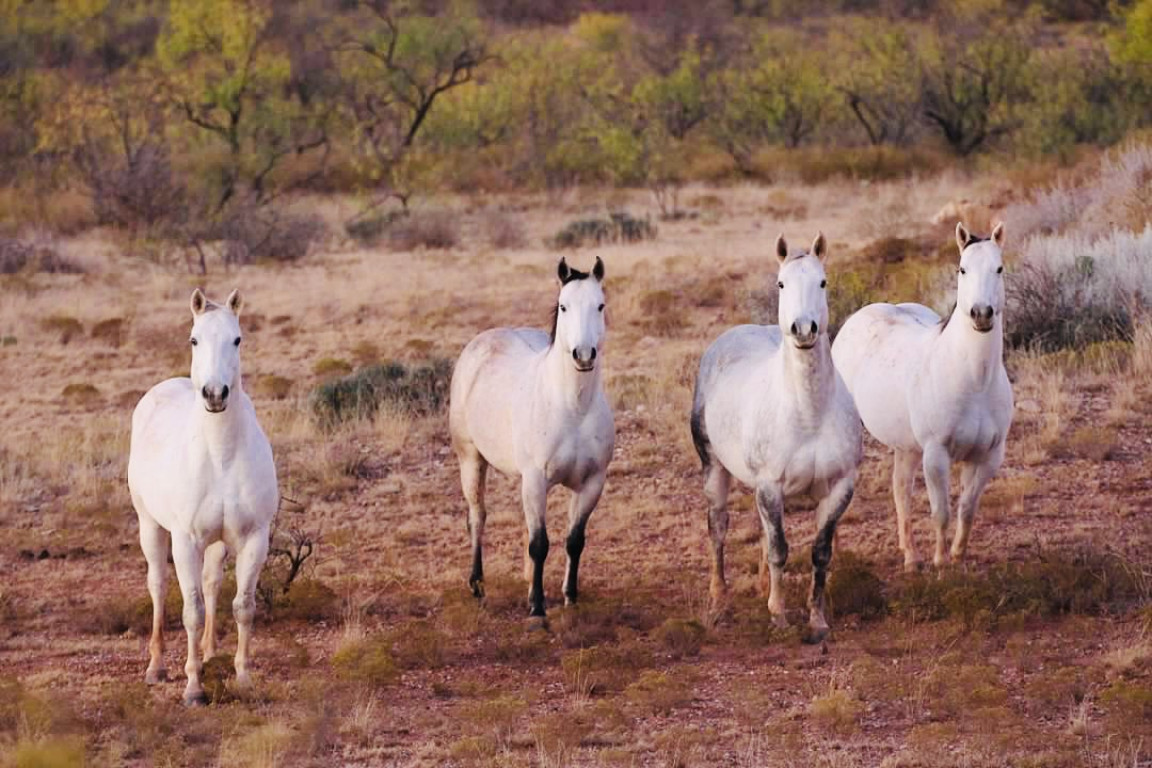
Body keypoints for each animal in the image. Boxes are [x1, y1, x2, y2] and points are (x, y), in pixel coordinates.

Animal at [127, 289, 278, 705]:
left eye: (237, 339)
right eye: (194, 339)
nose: (214, 394)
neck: (220, 455)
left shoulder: (254, 538)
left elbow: (243, 606)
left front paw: (243, 677)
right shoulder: (186, 540)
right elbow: (191, 610)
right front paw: (193, 687)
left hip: (217, 542)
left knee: (212, 582)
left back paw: (210, 653)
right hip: (150, 526)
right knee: (159, 585)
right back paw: (157, 667)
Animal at [449, 257, 615, 619]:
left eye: (600, 305)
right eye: (564, 306)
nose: (584, 355)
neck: (572, 409)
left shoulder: (592, 482)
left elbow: (574, 540)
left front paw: (569, 596)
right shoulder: (537, 479)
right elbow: (539, 544)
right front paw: (537, 608)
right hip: (470, 459)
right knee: (477, 516)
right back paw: (477, 584)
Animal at [690, 234, 862, 642]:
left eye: (823, 282)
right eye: (781, 284)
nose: (804, 329)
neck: (809, 415)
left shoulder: (840, 487)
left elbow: (819, 552)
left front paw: (817, 620)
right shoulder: (770, 486)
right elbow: (780, 550)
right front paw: (779, 616)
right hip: (713, 468)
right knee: (718, 526)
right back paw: (719, 599)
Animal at [831, 222, 1013, 570]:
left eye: (999, 268)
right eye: (962, 269)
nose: (981, 314)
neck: (974, 382)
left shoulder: (987, 457)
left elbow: (967, 509)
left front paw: (957, 557)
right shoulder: (936, 454)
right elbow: (941, 513)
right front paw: (941, 564)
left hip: (907, 447)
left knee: (900, 490)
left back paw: (911, 558)